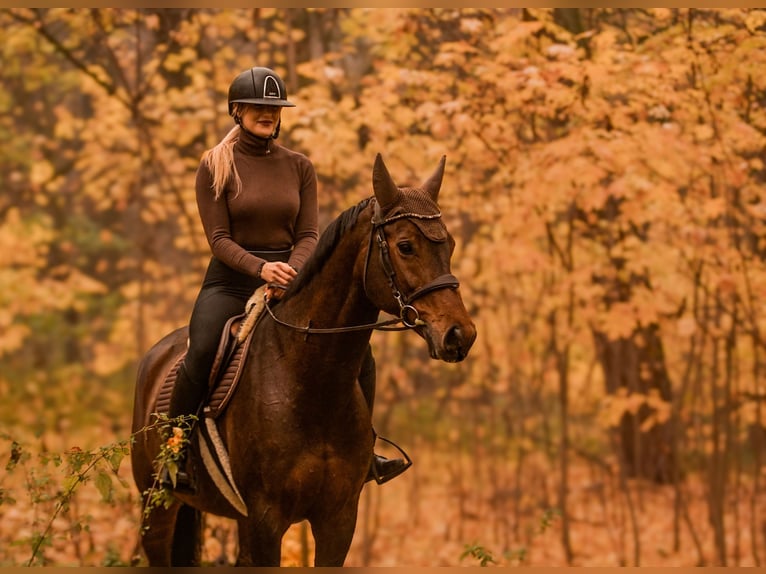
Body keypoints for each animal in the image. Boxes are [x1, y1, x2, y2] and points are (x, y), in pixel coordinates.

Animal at [130, 153, 477, 566]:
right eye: (406, 246)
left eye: (450, 244)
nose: (460, 335)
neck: (309, 382)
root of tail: (155, 355)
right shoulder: (265, 521)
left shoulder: (338, 519)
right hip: (157, 505)